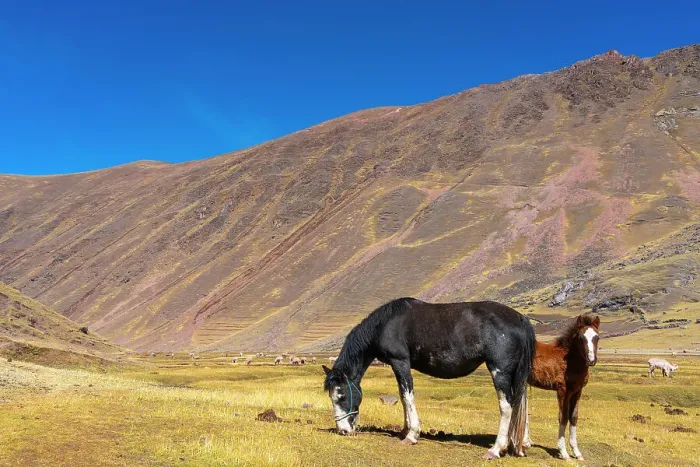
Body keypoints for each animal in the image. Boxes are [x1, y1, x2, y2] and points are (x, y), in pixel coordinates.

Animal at [322, 297, 535, 459]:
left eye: (341, 396)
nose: (343, 430)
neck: (385, 325)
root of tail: (520, 318)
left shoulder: (400, 362)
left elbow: (408, 397)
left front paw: (411, 435)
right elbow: (403, 398)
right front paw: (404, 430)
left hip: (500, 371)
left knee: (507, 406)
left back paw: (496, 449)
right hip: (517, 374)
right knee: (521, 402)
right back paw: (522, 444)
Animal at [527, 314, 600, 461]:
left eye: (597, 337)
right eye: (581, 338)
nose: (591, 360)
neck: (571, 362)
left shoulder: (577, 391)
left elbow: (574, 417)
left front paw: (577, 453)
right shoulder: (562, 390)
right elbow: (563, 416)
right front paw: (563, 452)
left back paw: (527, 441)